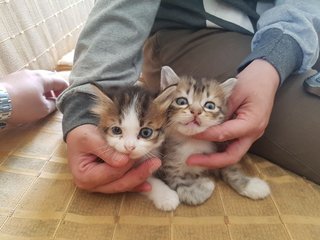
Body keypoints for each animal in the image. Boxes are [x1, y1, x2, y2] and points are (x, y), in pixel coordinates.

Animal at [156, 66, 272, 210]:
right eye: (181, 101)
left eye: (210, 106)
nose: (196, 111)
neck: (192, 142)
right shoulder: (167, 164)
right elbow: (181, 185)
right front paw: (203, 186)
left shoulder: (220, 150)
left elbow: (231, 170)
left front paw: (251, 185)